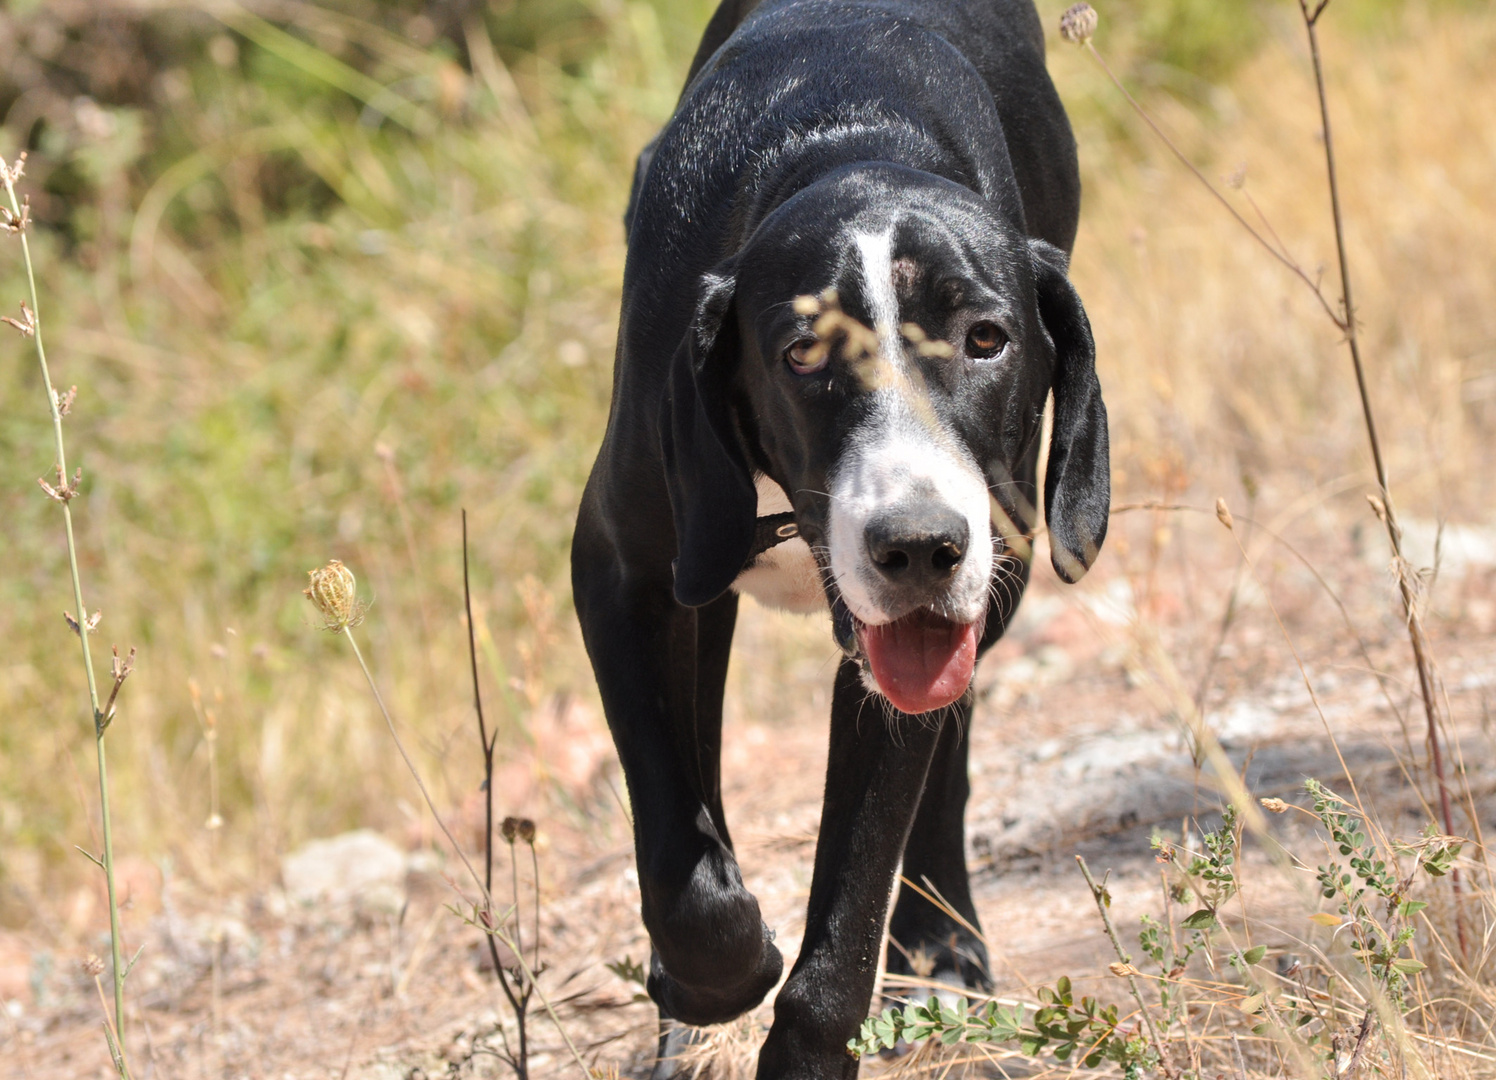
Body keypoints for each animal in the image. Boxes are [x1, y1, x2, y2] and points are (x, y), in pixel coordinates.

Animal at [577, 2, 1107, 1071]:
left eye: (986, 340)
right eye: (801, 354)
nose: (920, 546)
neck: (851, 143)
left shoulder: (930, 626)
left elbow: (849, 918)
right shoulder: (617, 570)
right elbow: (683, 856)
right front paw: (711, 973)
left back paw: (940, 948)